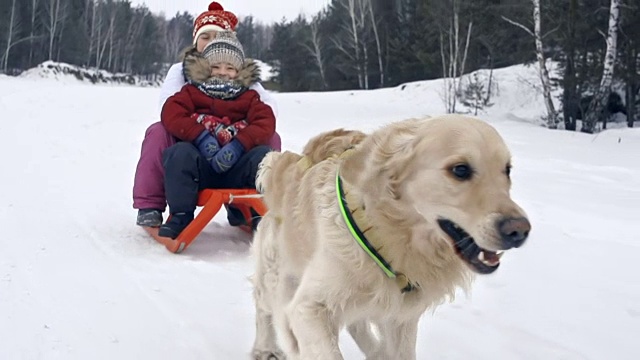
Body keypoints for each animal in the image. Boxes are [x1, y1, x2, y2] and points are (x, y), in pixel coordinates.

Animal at [250, 115, 528, 360]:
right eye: (460, 170)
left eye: (507, 170)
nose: (519, 231)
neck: (386, 235)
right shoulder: (309, 308)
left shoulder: (400, 317)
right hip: (276, 275)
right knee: (263, 308)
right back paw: (265, 348)